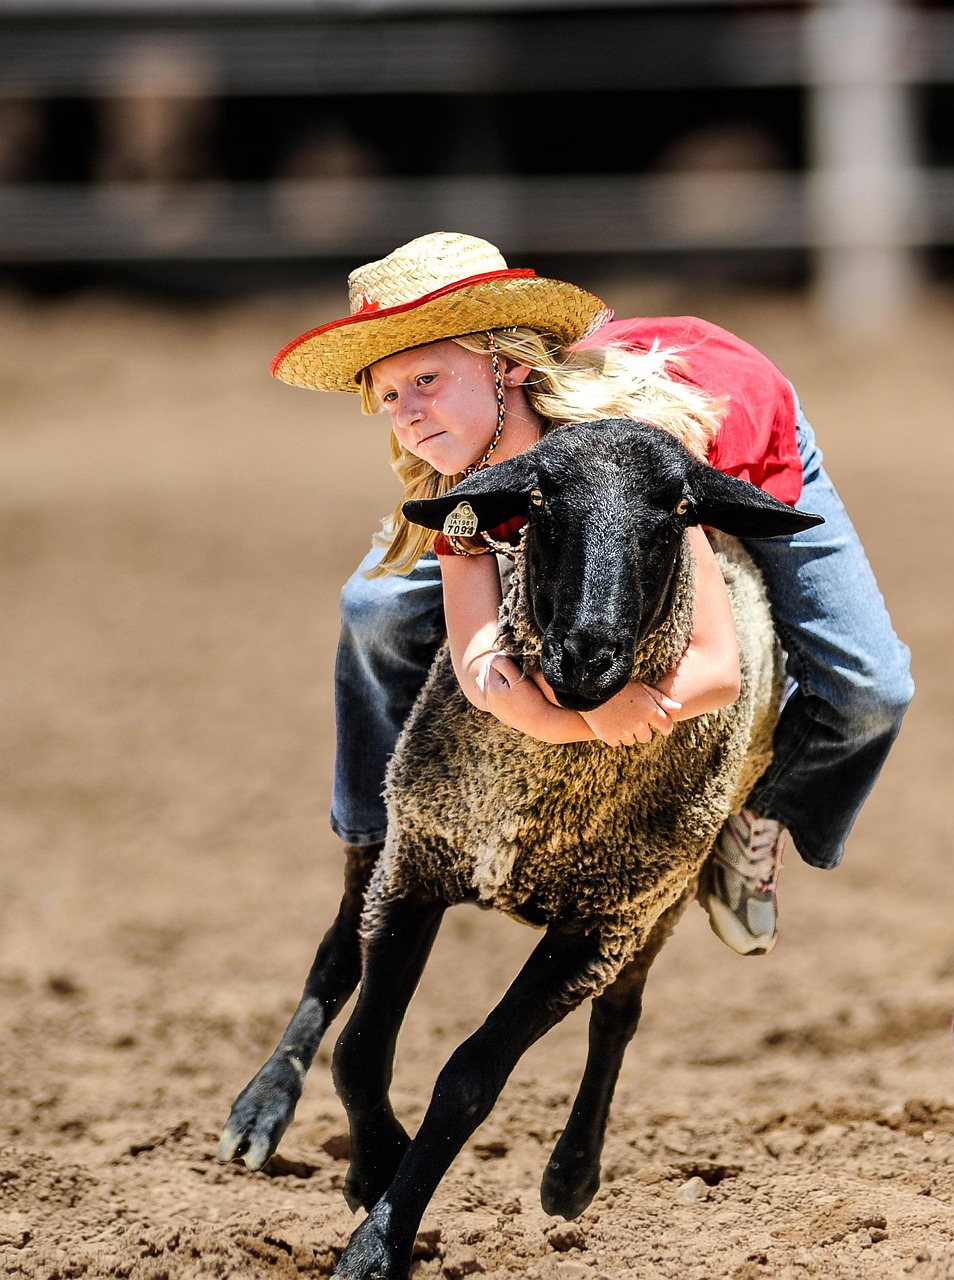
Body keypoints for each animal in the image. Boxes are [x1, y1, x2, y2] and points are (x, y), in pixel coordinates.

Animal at [216, 419, 819, 1280]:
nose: (588, 652)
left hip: (663, 899)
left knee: (620, 1016)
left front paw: (379, 1240)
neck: (541, 790)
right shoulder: (416, 864)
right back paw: (261, 1107)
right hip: (383, 819)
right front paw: (375, 1169)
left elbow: (470, 1077)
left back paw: (572, 1174)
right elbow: (360, 1049)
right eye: (536, 501)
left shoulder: (599, 929)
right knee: (335, 950)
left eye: (679, 510)